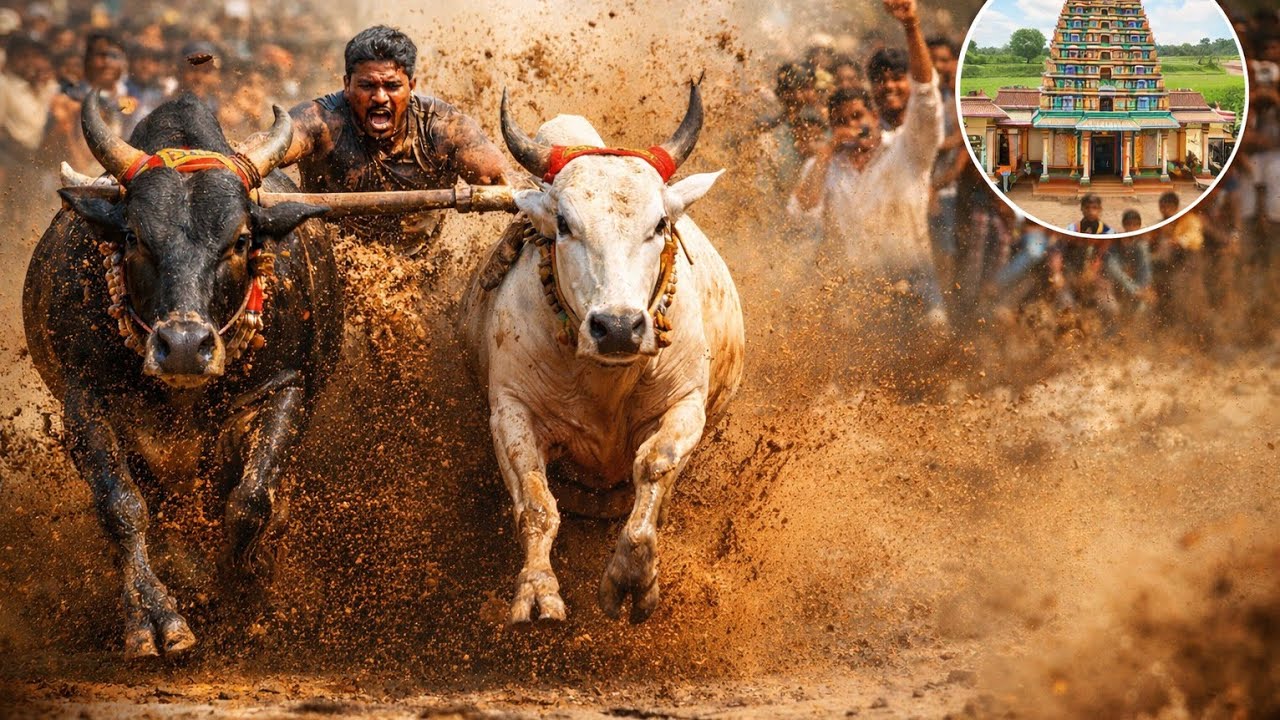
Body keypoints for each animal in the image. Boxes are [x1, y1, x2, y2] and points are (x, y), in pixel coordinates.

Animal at [22, 92, 342, 658]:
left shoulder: (287, 388)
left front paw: (242, 588)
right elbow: (123, 507)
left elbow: (252, 499)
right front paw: (154, 618)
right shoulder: (84, 399)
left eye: (241, 240)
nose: (186, 348)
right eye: (132, 236)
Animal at [461, 82, 745, 625]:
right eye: (564, 223)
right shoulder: (510, 410)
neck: (607, 382)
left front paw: (632, 578)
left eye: (659, 224)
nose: (617, 328)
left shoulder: (686, 404)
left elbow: (654, 466)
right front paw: (537, 591)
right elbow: (536, 502)